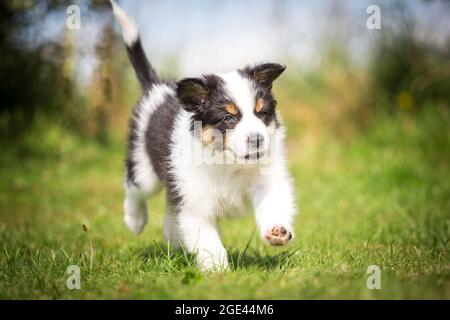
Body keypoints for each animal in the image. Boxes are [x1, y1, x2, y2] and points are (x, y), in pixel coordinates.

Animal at [110, 0, 298, 272]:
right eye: (229, 118)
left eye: (262, 113)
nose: (257, 140)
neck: (230, 164)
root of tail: (156, 88)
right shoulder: (196, 203)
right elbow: (208, 241)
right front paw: (218, 271)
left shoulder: (267, 181)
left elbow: (272, 203)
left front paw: (277, 231)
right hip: (144, 166)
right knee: (134, 185)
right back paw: (134, 220)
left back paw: (174, 238)